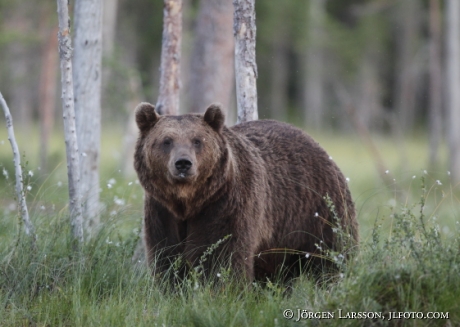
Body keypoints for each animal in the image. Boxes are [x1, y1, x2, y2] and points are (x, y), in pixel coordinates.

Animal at [134, 102, 360, 282]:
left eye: (197, 140)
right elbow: (167, 255)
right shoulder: (162, 210)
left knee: (330, 253)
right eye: (166, 141)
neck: (189, 201)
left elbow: (222, 255)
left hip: (317, 209)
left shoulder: (225, 204)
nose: (183, 163)